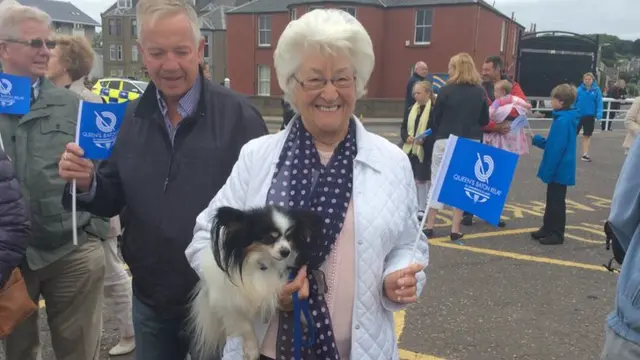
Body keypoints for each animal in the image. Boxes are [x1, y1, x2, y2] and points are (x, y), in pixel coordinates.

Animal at [189, 205, 320, 360]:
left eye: (289, 237)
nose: (286, 251)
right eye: (269, 238)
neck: (262, 263)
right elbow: (245, 326)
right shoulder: (230, 303)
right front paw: (252, 350)